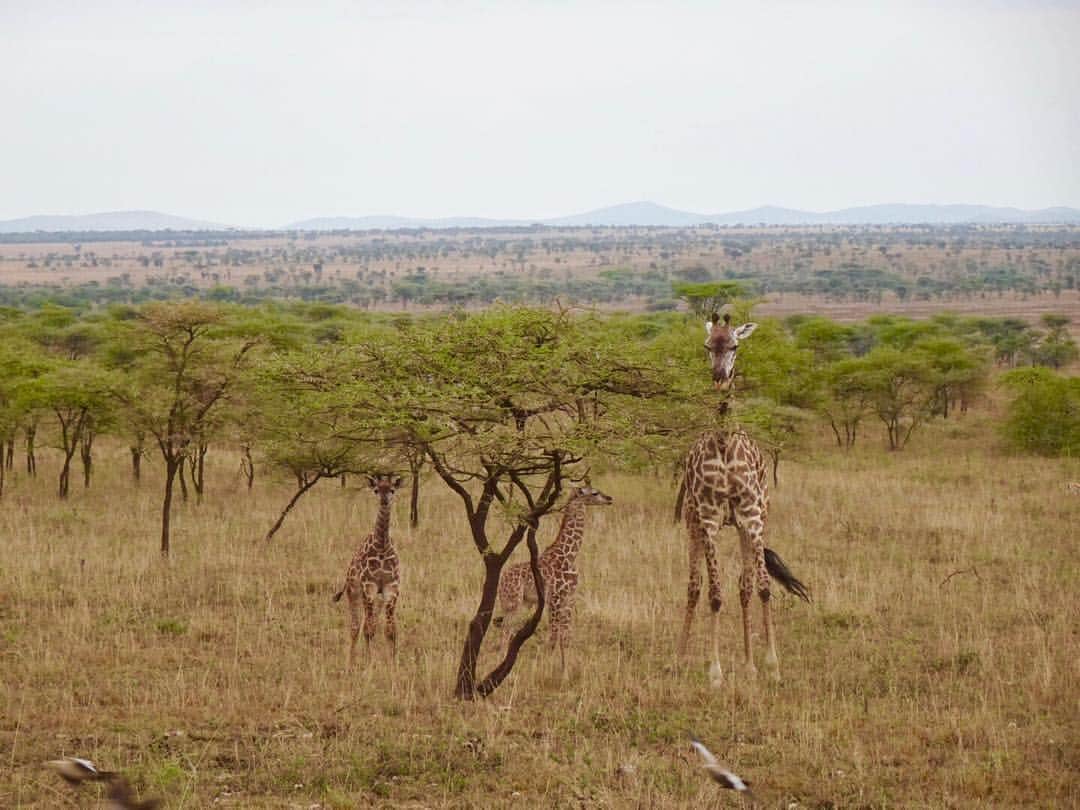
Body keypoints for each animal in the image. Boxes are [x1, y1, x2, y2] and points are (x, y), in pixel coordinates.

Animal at [332, 474, 403, 668]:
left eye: (392, 490)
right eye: (376, 490)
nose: (384, 501)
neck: (382, 546)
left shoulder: (391, 587)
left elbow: (390, 629)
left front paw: (393, 664)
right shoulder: (368, 586)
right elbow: (368, 629)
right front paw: (369, 663)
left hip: (376, 598)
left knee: (370, 623)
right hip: (354, 592)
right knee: (356, 627)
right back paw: (351, 662)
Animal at [496, 485, 613, 668]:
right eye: (594, 493)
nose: (609, 498)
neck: (569, 555)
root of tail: (502, 580)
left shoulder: (569, 598)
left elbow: (565, 637)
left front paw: (565, 670)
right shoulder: (555, 598)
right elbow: (553, 636)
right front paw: (548, 669)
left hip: (517, 603)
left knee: (508, 631)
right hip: (514, 602)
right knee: (506, 631)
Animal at [680, 315, 809, 683]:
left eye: (735, 346)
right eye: (708, 346)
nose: (719, 378)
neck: (725, 443)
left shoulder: (751, 517)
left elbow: (761, 588)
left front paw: (770, 665)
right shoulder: (709, 518)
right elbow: (714, 593)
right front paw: (715, 672)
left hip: (742, 526)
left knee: (744, 587)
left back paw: (750, 664)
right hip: (693, 523)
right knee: (694, 586)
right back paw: (678, 659)